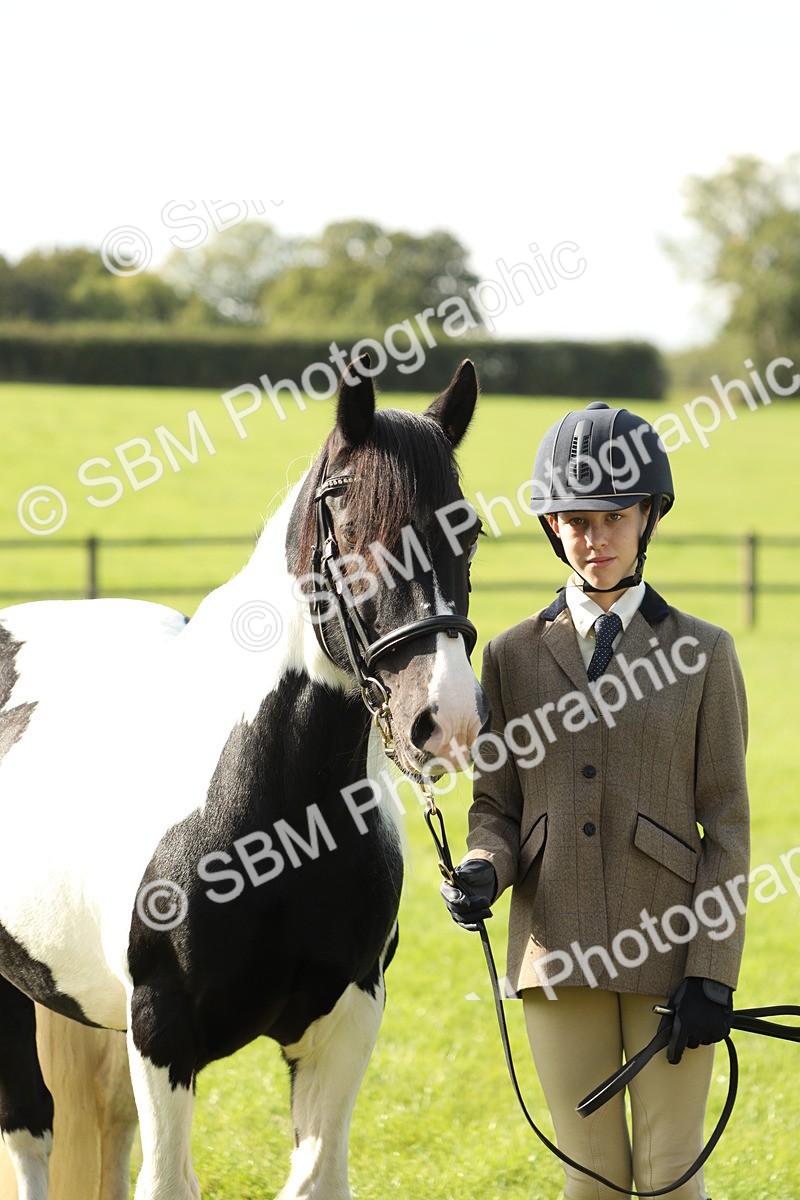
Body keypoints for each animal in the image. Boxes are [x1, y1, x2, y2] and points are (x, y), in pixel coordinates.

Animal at [0, 355, 488, 1200]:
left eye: (472, 532)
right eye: (352, 532)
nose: (445, 718)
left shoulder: (345, 1020)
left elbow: (318, 1179)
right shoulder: (162, 1032)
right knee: (30, 1133)